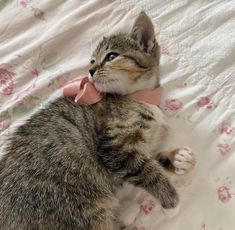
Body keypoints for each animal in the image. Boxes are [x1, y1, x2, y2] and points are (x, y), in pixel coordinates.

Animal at [0, 12, 195, 230]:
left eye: (111, 56)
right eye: (92, 60)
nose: (90, 70)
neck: (142, 97)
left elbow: (151, 159)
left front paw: (177, 158)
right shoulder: (117, 147)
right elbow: (146, 170)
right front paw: (171, 202)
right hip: (80, 208)